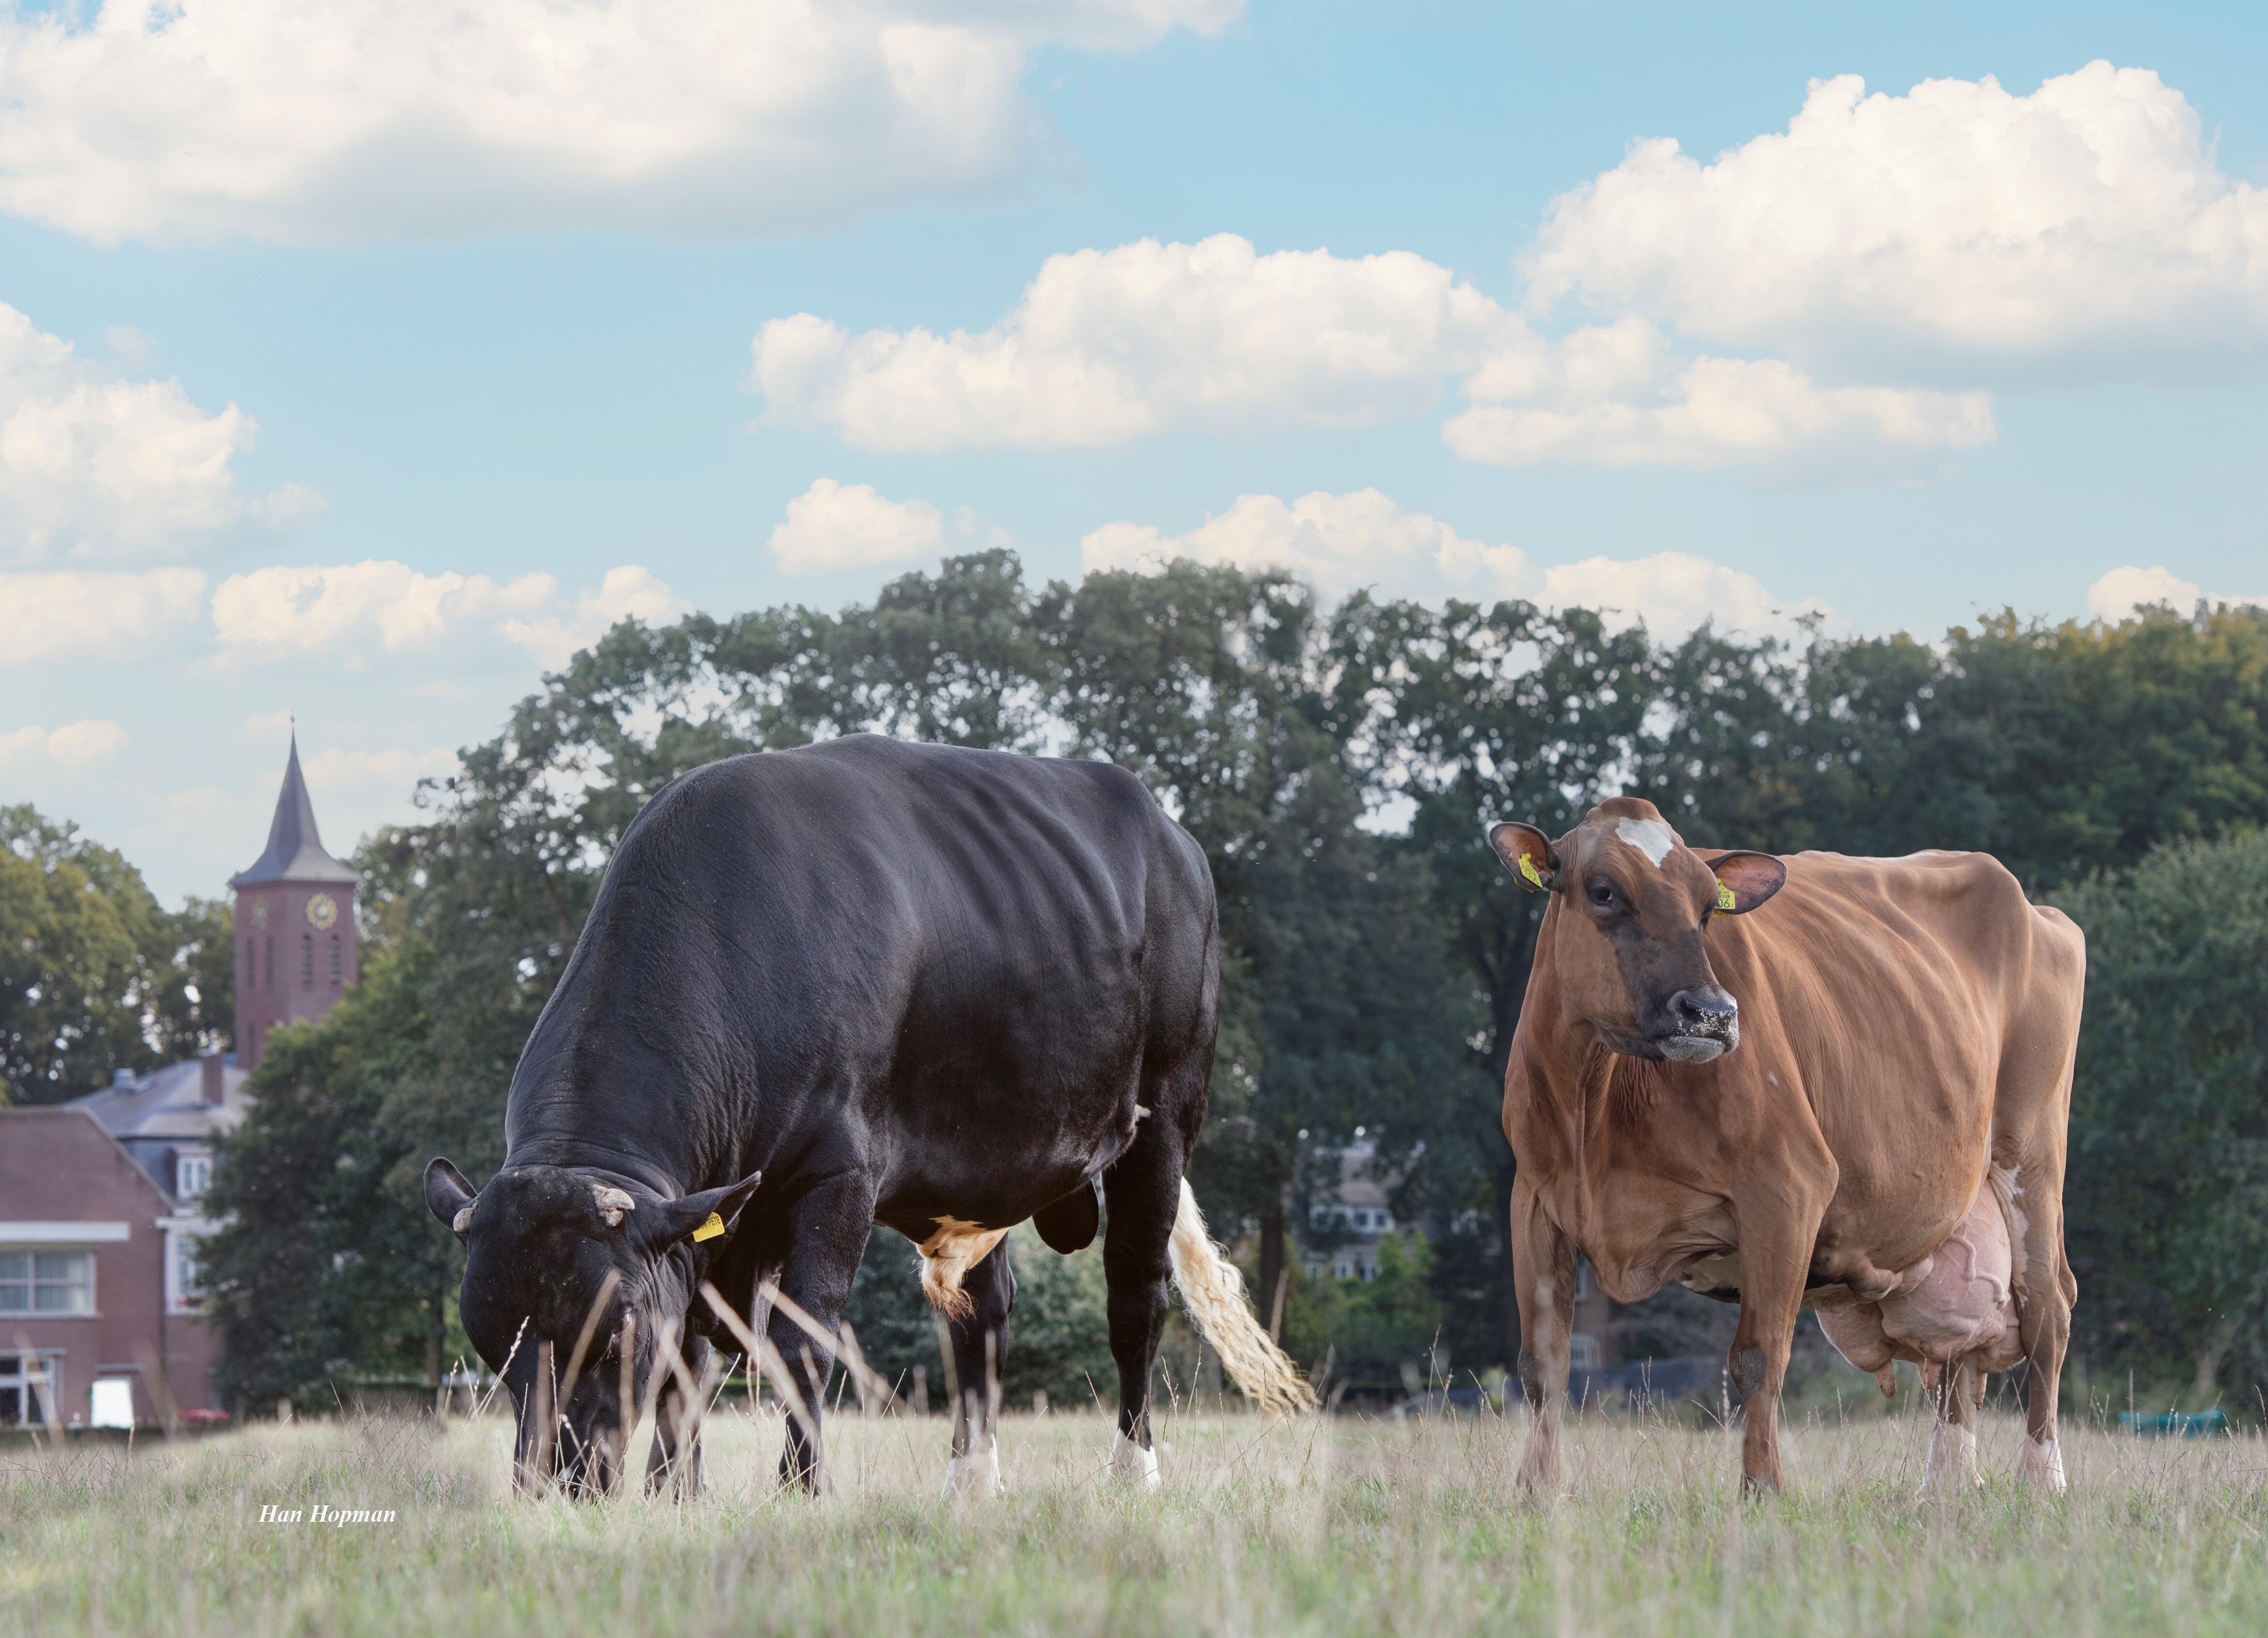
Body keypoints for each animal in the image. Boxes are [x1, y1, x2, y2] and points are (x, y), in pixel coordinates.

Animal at [426, 730, 1315, 1497]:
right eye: (492, 1350)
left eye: (613, 1335)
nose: (553, 1485)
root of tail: (1172, 833)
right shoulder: (710, 1220)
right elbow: (695, 1359)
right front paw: (677, 1495)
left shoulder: (838, 1175)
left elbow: (801, 1344)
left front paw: (798, 1489)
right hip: (987, 1167)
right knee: (983, 1315)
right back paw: (971, 1483)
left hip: (1164, 1118)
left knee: (1135, 1299)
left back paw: (1133, 1472)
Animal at [1488, 794, 2086, 1497]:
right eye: (1603, 891)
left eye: (1706, 907)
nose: (1713, 1013)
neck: (1598, 1102)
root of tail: (2034, 905)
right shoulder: (1534, 1202)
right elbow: (1542, 1365)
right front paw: (1535, 1493)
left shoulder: (1786, 1190)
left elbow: (1758, 1357)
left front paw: (1763, 1491)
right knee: (1955, 1357)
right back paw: (1943, 1487)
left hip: (2033, 1153)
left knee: (2048, 1307)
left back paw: (2041, 1478)